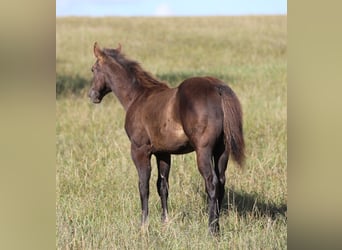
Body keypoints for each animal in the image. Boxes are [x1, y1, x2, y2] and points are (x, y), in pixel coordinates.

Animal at [87, 43, 244, 234]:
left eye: (93, 69)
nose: (92, 95)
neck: (138, 97)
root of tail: (216, 87)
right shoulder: (163, 153)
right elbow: (162, 186)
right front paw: (165, 222)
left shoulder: (139, 150)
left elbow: (143, 186)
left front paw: (143, 225)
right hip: (222, 151)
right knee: (221, 182)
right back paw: (217, 226)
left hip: (203, 151)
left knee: (212, 183)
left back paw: (212, 229)